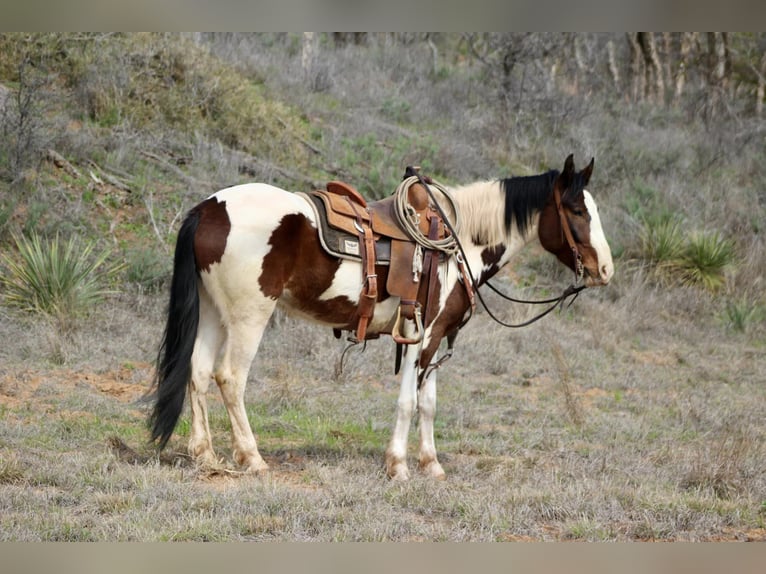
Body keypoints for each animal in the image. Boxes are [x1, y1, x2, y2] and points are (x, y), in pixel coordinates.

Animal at [148, 153, 616, 482]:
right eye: (577, 212)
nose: (606, 270)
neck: (458, 243)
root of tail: (209, 208)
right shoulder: (420, 334)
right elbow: (408, 400)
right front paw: (398, 465)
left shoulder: (434, 339)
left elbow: (428, 403)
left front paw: (432, 464)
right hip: (249, 315)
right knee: (229, 377)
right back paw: (253, 458)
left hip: (213, 311)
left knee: (198, 371)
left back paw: (206, 455)